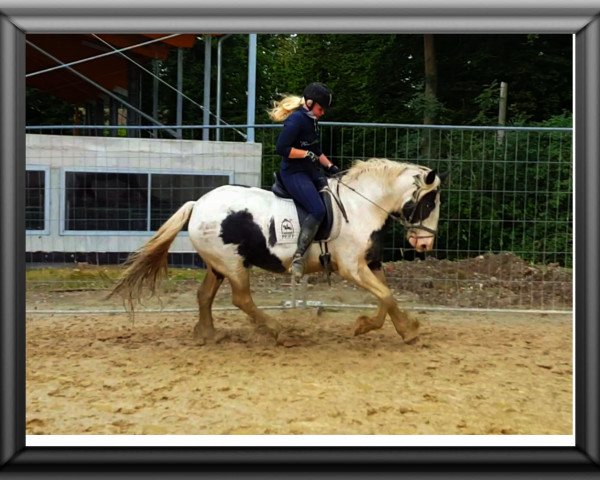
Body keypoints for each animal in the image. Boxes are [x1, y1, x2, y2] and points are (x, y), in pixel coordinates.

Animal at [109, 158, 446, 344]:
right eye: (430, 202)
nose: (425, 244)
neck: (361, 205)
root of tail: (198, 204)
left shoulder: (370, 263)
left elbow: (387, 298)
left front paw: (403, 329)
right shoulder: (351, 267)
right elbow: (386, 296)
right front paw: (375, 327)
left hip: (218, 265)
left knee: (204, 296)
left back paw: (208, 334)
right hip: (234, 264)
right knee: (241, 299)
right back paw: (276, 330)